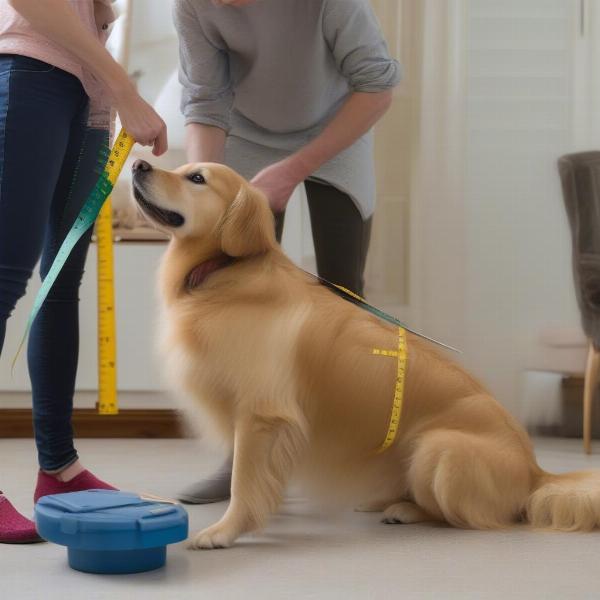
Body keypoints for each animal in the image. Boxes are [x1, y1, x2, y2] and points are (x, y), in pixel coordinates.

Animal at [132, 158, 600, 548]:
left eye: (197, 178)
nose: (137, 164)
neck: (224, 270)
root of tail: (536, 470)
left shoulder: (261, 414)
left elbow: (244, 484)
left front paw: (225, 531)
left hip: (438, 450)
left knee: (459, 516)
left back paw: (404, 509)